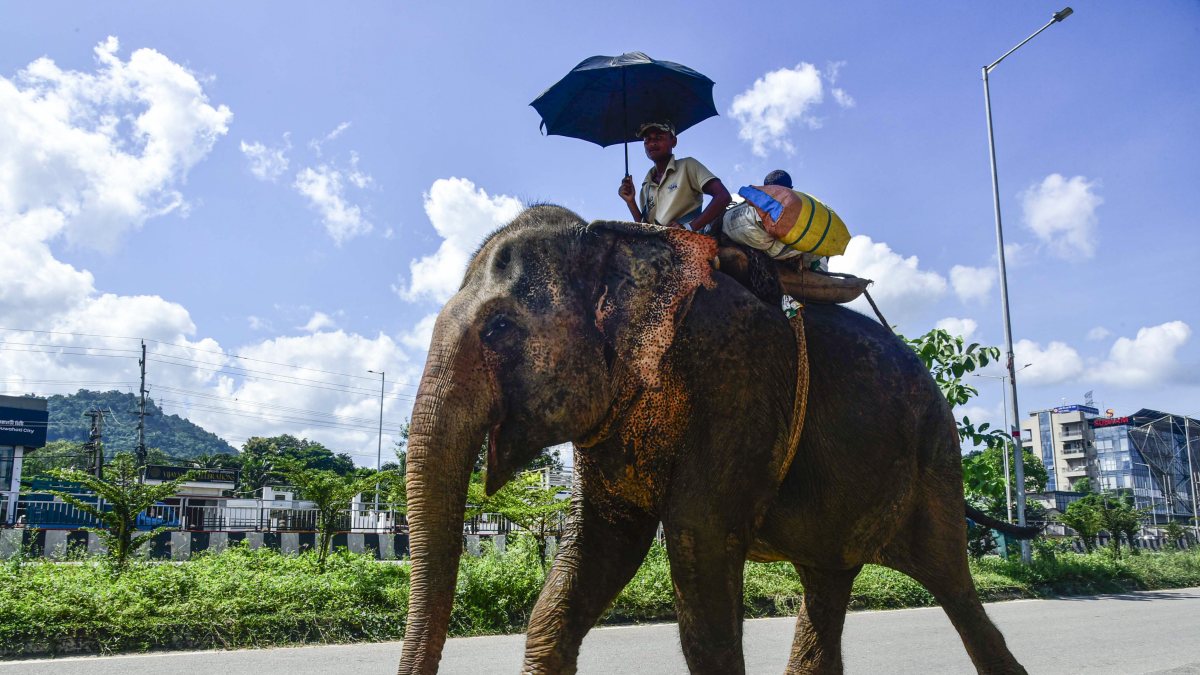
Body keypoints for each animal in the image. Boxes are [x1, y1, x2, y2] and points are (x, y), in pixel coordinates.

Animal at [398, 204, 1032, 674]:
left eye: (499, 328)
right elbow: (596, 550)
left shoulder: (739, 381)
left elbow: (698, 543)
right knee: (829, 584)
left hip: (935, 460)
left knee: (950, 579)